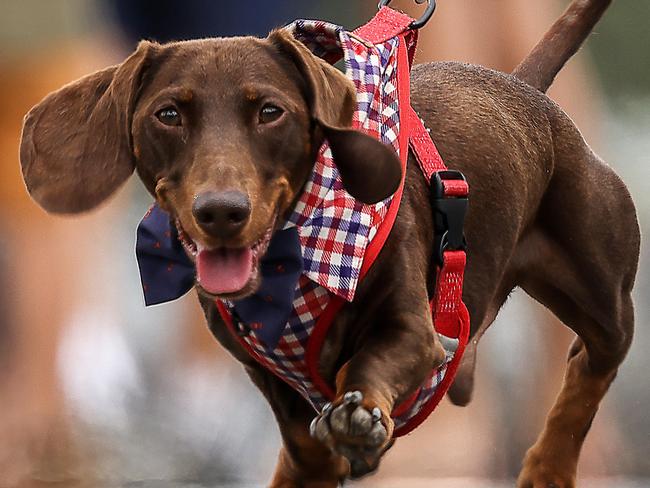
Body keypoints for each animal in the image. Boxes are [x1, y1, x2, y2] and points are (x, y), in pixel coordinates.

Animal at [19, 0, 636, 484]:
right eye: (167, 114)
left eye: (271, 111)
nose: (221, 212)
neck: (288, 269)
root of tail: (526, 90)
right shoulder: (264, 371)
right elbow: (302, 439)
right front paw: (327, 451)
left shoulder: (415, 333)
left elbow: (368, 365)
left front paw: (359, 420)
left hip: (601, 293)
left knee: (591, 366)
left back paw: (549, 466)